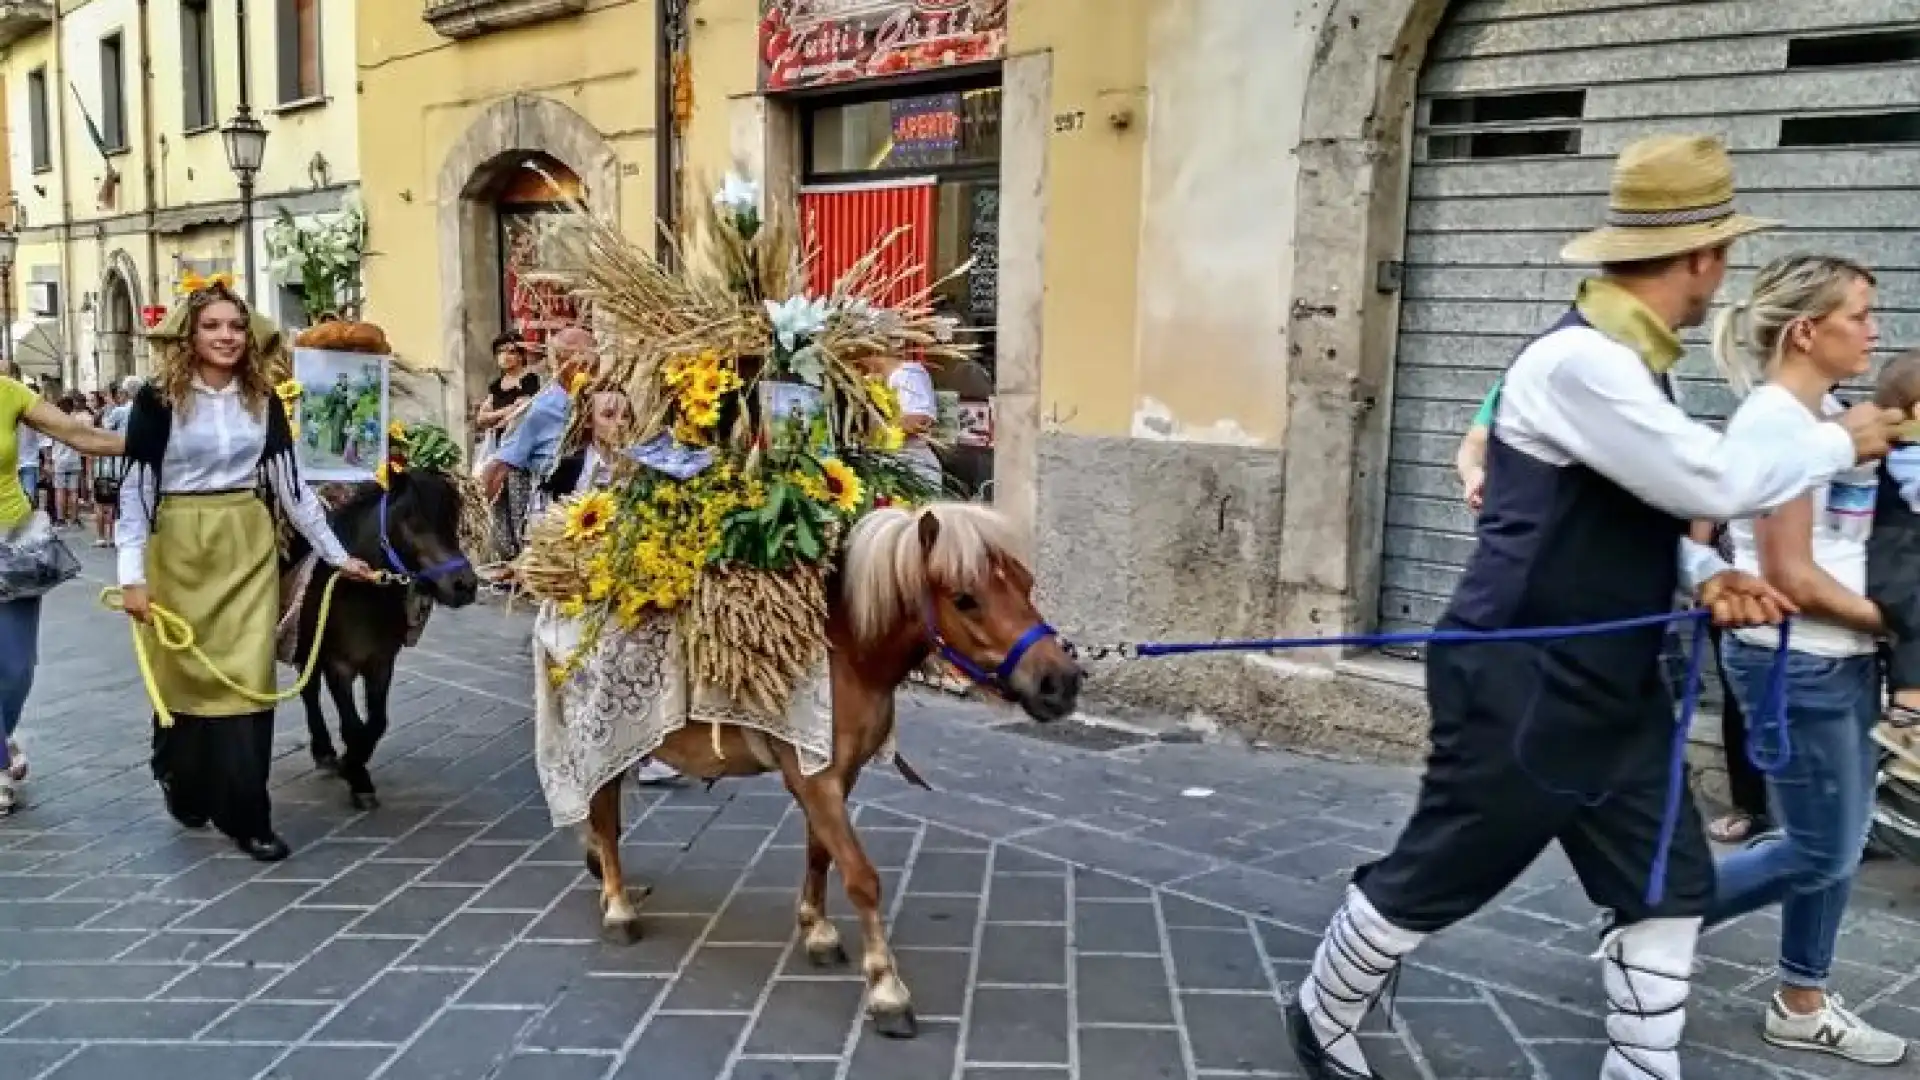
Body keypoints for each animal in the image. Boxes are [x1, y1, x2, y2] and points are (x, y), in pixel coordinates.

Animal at [284, 468, 480, 807]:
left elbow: (377, 723)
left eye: (453, 519)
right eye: (411, 520)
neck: (358, 594)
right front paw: (357, 777)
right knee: (309, 691)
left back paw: (325, 752)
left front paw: (352, 764)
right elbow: (352, 725)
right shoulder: (338, 665)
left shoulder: (381, 663)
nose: (464, 585)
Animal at [576, 499, 1090, 1037]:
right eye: (966, 599)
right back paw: (617, 907)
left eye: (1027, 583)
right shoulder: (815, 779)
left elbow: (820, 853)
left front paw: (817, 932)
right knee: (604, 814)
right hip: (596, 734)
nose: (1061, 682)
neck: (846, 653)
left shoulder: (837, 777)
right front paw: (887, 990)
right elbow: (861, 877)